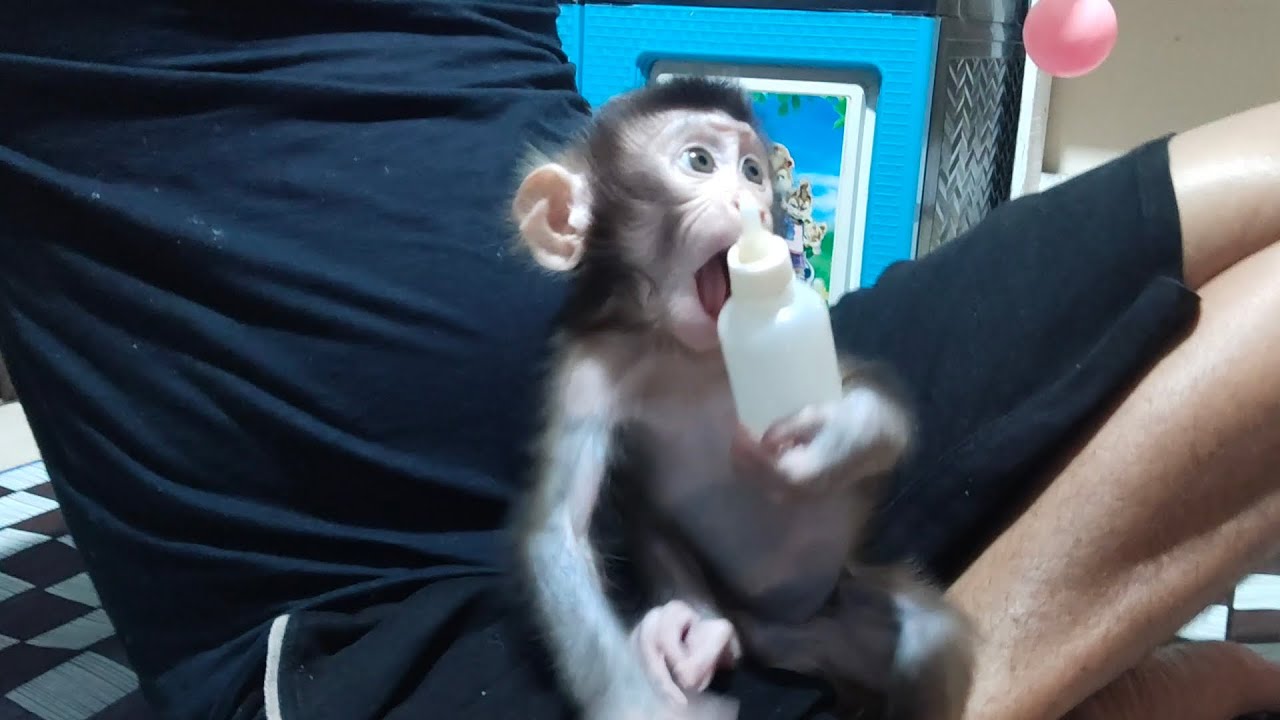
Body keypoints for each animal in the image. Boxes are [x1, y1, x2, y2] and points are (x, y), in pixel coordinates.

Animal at [509, 76, 974, 720]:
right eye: (700, 162)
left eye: (753, 171)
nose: (752, 204)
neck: (683, 348)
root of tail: (785, 626)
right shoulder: (586, 370)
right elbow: (560, 532)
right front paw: (643, 702)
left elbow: (876, 404)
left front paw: (837, 437)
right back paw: (703, 632)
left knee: (929, 641)